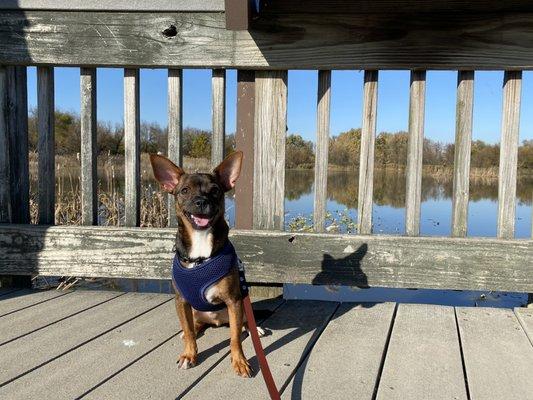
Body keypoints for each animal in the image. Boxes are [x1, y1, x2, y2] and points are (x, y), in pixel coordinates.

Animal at [150, 151, 256, 378]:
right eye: (184, 191)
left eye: (215, 190)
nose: (200, 201)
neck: (200, 255)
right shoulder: (181, 301)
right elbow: (190, 331)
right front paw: (189, 354)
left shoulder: (234, 301)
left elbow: (235, 339)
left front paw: (240, 361)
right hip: (195, 312)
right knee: (193, 325)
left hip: (241, 307)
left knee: (242, 325)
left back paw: (255, 330)